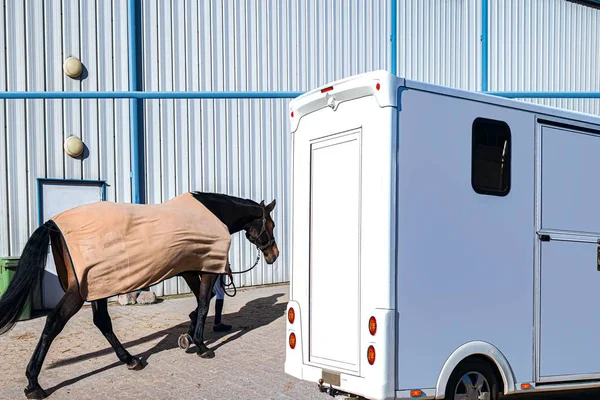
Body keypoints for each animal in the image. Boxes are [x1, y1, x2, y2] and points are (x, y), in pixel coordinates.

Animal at [0, 192, 278, 398]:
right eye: (271, 224)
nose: (273, 255)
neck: (211, 214)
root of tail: (53, 224)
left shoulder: (190, 268)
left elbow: (202, 302)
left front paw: (188, 337)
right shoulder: (208, 268)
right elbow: (203, 305)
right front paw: (201, 345)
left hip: (99, 286)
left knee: (102, 322)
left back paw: (131, 359)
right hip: (81, 291)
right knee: (54, 322)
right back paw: (34, 384)